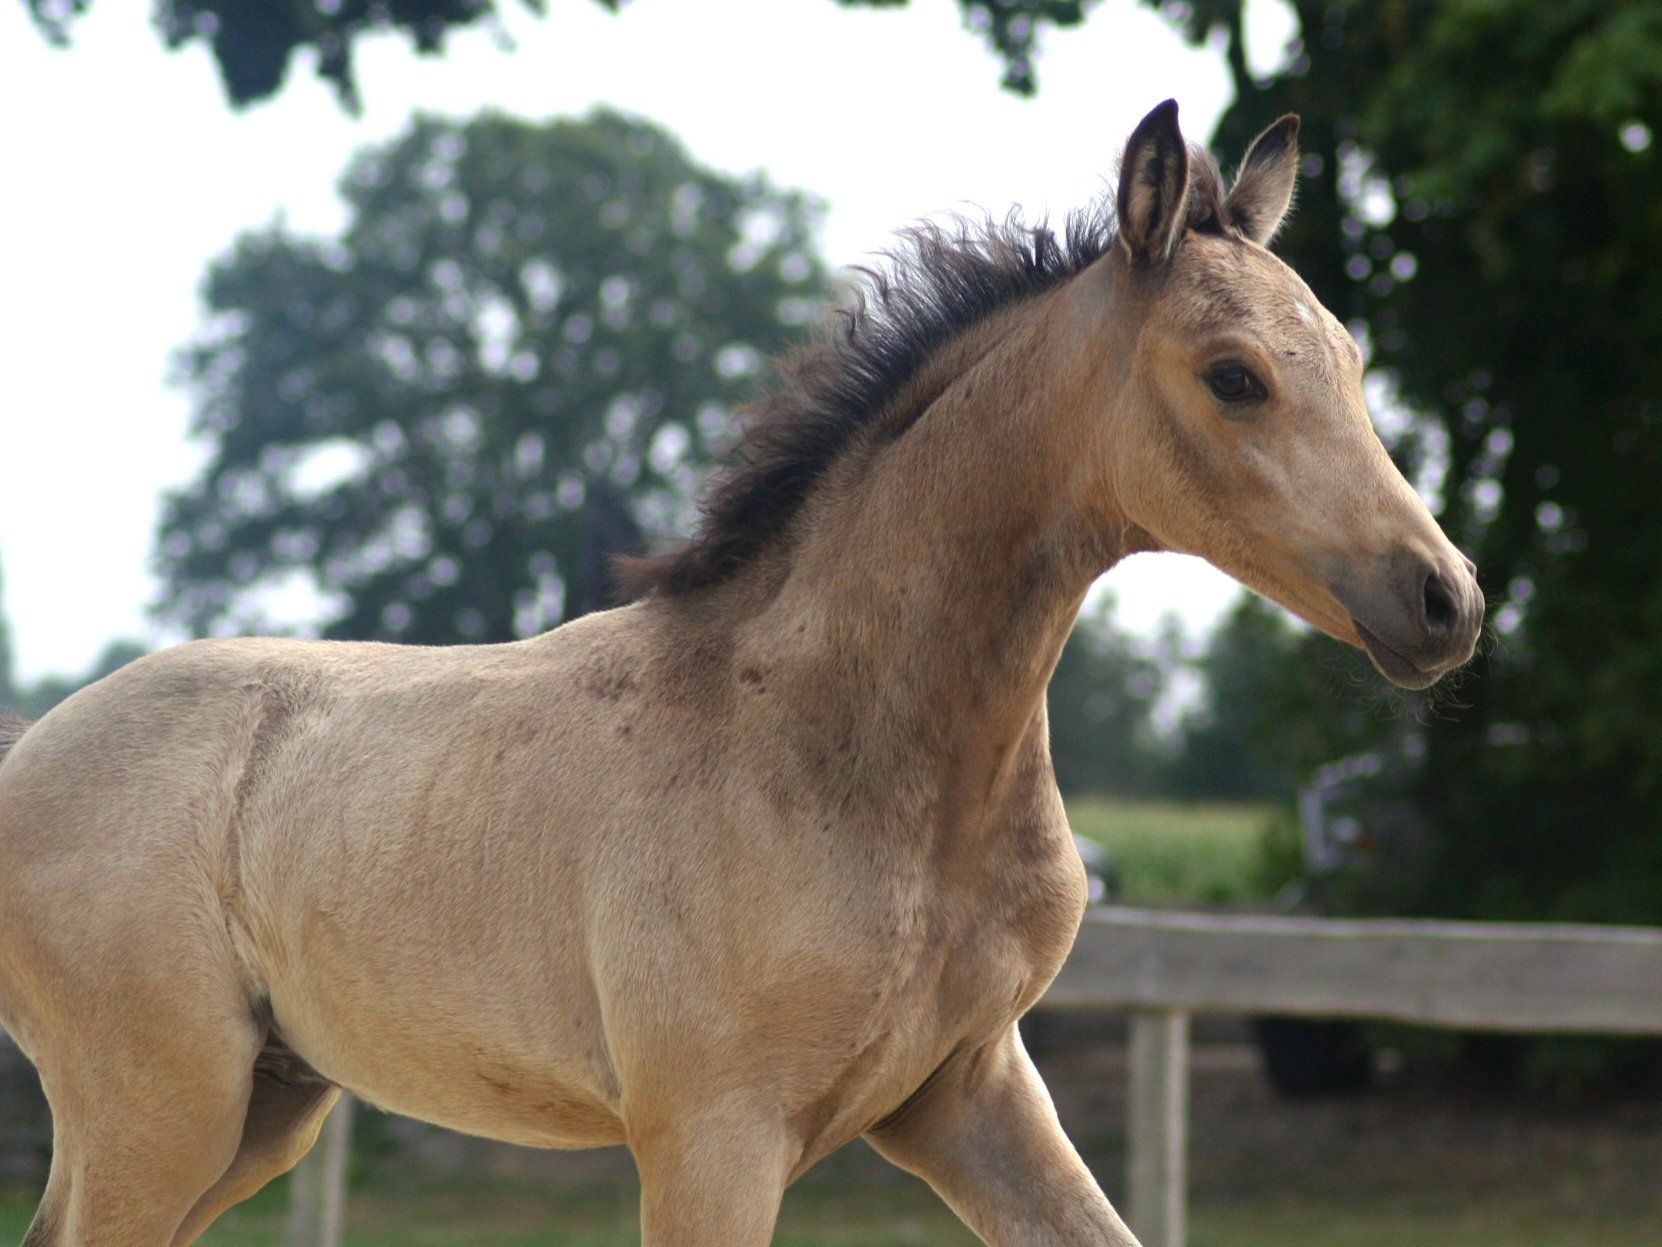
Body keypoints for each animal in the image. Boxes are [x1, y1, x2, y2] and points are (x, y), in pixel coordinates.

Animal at [0, 100, 1482, 1246]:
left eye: (1352, 361)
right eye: (1233, 376)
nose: (1445, 598)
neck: (848, 746)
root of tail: (29, 746)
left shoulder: (967, 1092)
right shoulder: (711, 1131)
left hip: (261, 1105)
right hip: (166, 1108)